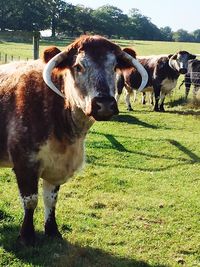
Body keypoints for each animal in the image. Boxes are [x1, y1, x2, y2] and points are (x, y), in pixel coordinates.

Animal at [0, 35, 147, 247]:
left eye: (114, 67)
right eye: (78, 66)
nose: (104, 104)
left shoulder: (56, 166)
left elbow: (50, 199)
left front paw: (52, 231)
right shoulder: (24, 163)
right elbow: (30, 201)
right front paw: (27, 236)